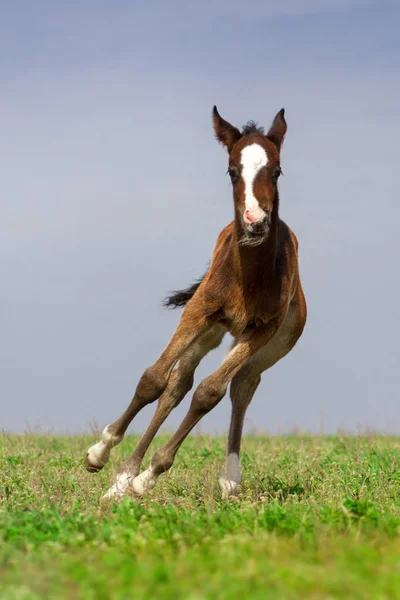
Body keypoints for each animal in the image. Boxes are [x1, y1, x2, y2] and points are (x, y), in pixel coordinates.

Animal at [86, 105, 308, 500]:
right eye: (232, 171)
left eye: (277, 170)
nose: (255, 222)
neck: (248, 276)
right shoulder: (199, 311)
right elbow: (153, 380)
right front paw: (104, 458)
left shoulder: (262, 330)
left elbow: (210, 392)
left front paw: (148, 475)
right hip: (209, 332)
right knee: (178, 383)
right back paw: (122, 478)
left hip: (270, 346)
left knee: (242, 385)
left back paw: (229, 477)